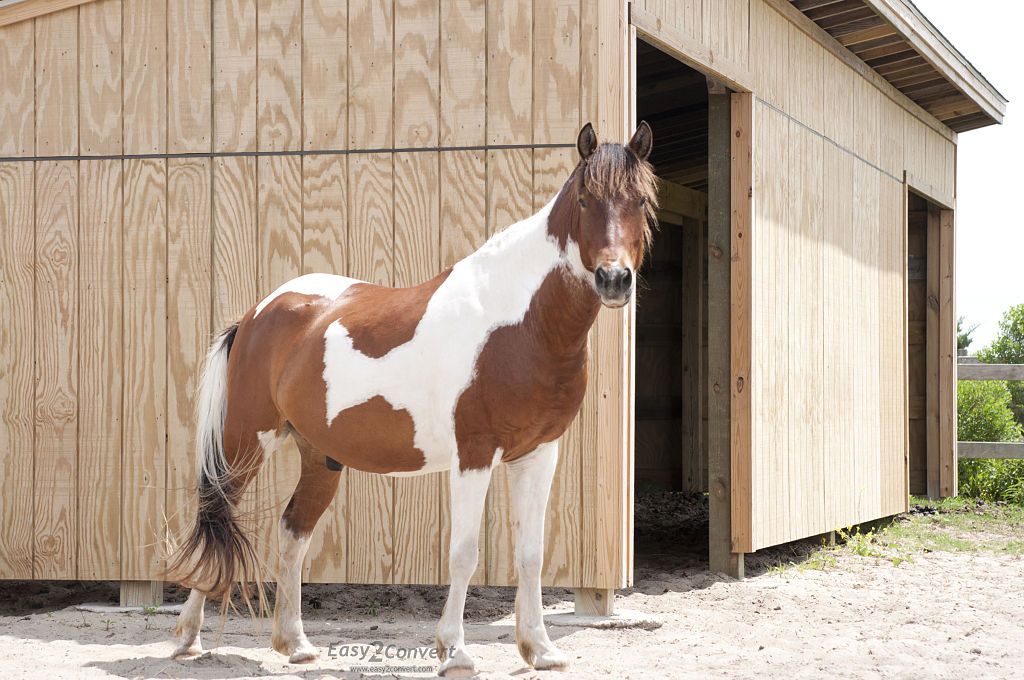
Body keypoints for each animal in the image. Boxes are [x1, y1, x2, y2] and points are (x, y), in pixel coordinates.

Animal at [167, 121, 656, 675]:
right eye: (585, 198)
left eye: (639, 200)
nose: (614, 280)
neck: (523, 323)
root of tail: (257, 314)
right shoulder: (474, 455)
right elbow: (463, 553)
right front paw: (456, 651)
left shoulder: (538, 453)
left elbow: (531, 553)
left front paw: (541, 649)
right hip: (248, 441)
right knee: (218, 513)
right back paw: (187, 638)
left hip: (320, 456)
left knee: (293, 533)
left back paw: (295, 643)